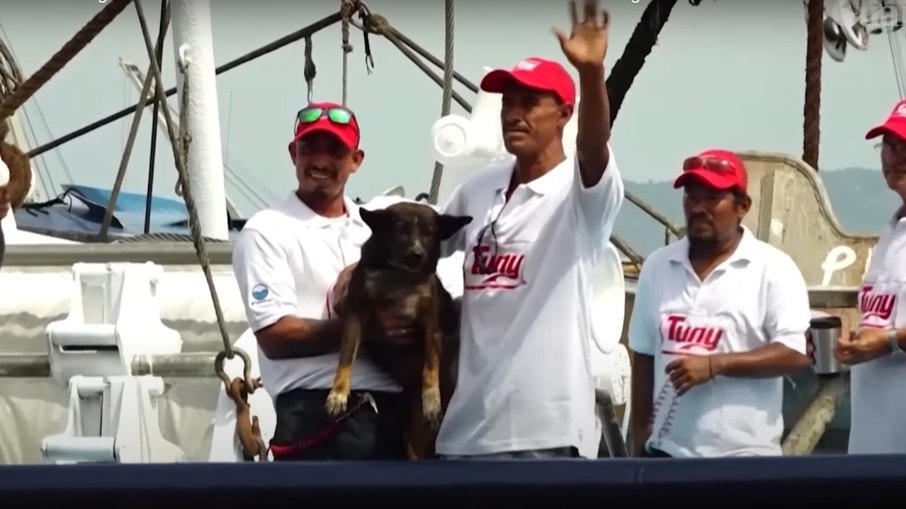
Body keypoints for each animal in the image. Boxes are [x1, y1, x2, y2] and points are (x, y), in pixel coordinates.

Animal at [324, 200, 470, 458]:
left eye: (430, 233)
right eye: (401, 230)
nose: (417, 255)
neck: (399, 276)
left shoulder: (432, 323)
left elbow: (431, 365)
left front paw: (431, 401)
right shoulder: (356, 314)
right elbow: (346, 356)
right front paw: (338, 394)